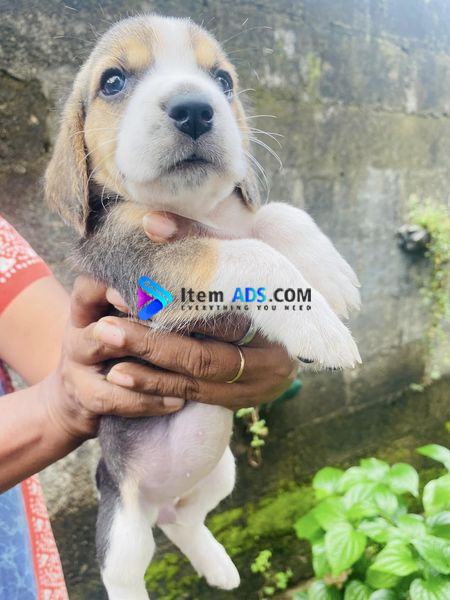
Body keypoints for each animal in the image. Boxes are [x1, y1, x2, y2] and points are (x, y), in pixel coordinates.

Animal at [45, 14, 361, 600]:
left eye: (222, 80)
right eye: (113, 82)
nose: (195, 107)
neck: (193, 211)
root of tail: (157, 504)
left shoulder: (238, 218)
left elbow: (275, 216)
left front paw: (330, 275)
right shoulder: (145, 261)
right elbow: (247, 252)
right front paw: (319, 328)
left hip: (221, 472)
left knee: (185, 521)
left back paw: (218, 566)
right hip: (123, 522)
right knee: (126, 571)